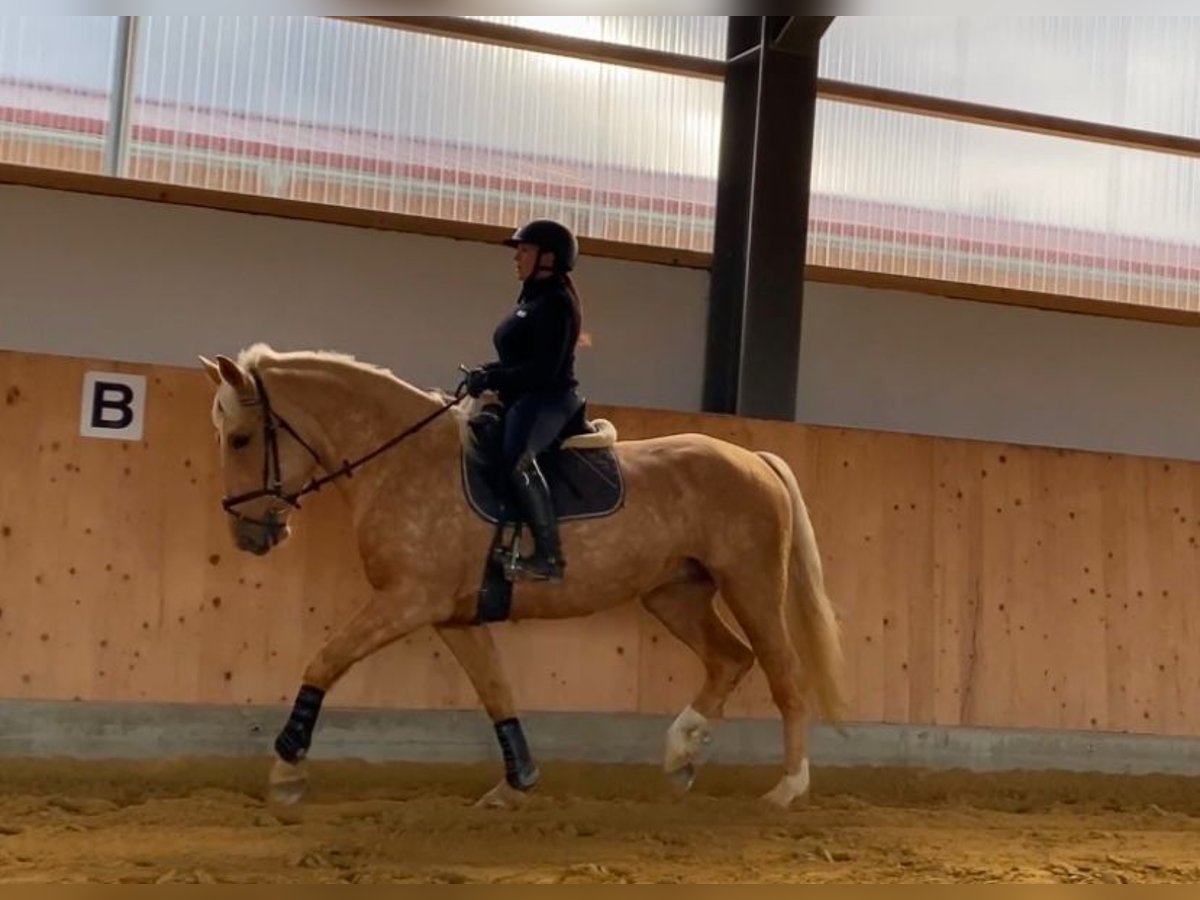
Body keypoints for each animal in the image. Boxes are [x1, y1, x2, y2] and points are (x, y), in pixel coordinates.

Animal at [201, 343, 844, 811]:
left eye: (241, 438)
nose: (248, 534)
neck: (403, 461)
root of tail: (753, 459)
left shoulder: (407, 601)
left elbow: (324, 662)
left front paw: (286, 770)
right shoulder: (453, 616)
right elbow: (497, 692)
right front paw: (516, 784)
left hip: (751, 584)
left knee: (784, 674)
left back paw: (787, 789)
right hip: (675, 594)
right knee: (729, 659)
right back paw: (680, 757)